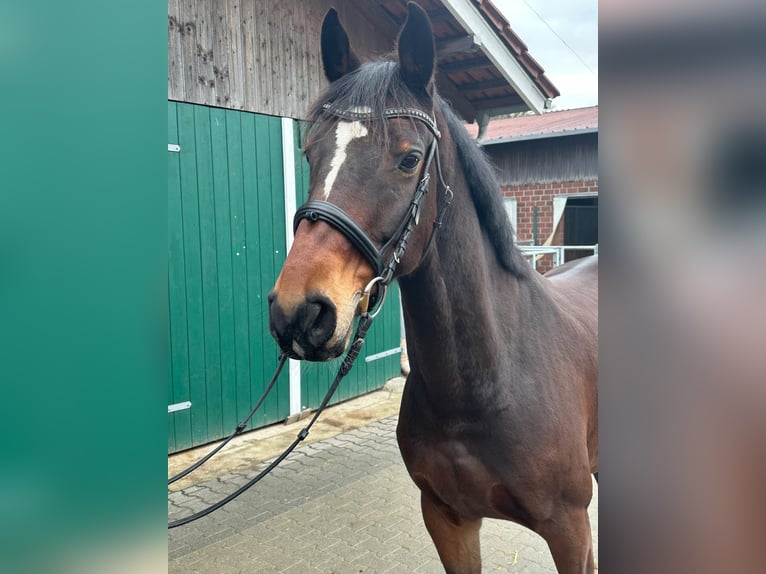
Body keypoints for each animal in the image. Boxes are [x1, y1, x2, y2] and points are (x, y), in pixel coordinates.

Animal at [270, 5, 600, 574]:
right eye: (310, 152)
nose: (299, 312)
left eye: (408, 159)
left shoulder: (570, 530)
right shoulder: (448, 519)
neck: (489, 382)